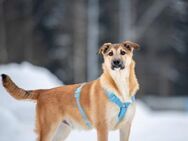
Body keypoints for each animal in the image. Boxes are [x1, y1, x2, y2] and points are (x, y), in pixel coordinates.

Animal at [1, 40, 140, 140]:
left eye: (123, 52)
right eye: (110, 53)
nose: (116, 62)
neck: (119, 85)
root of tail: (43, 91)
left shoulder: (126, 127)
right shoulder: (102, 127)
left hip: (61, 131)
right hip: (48, 129)